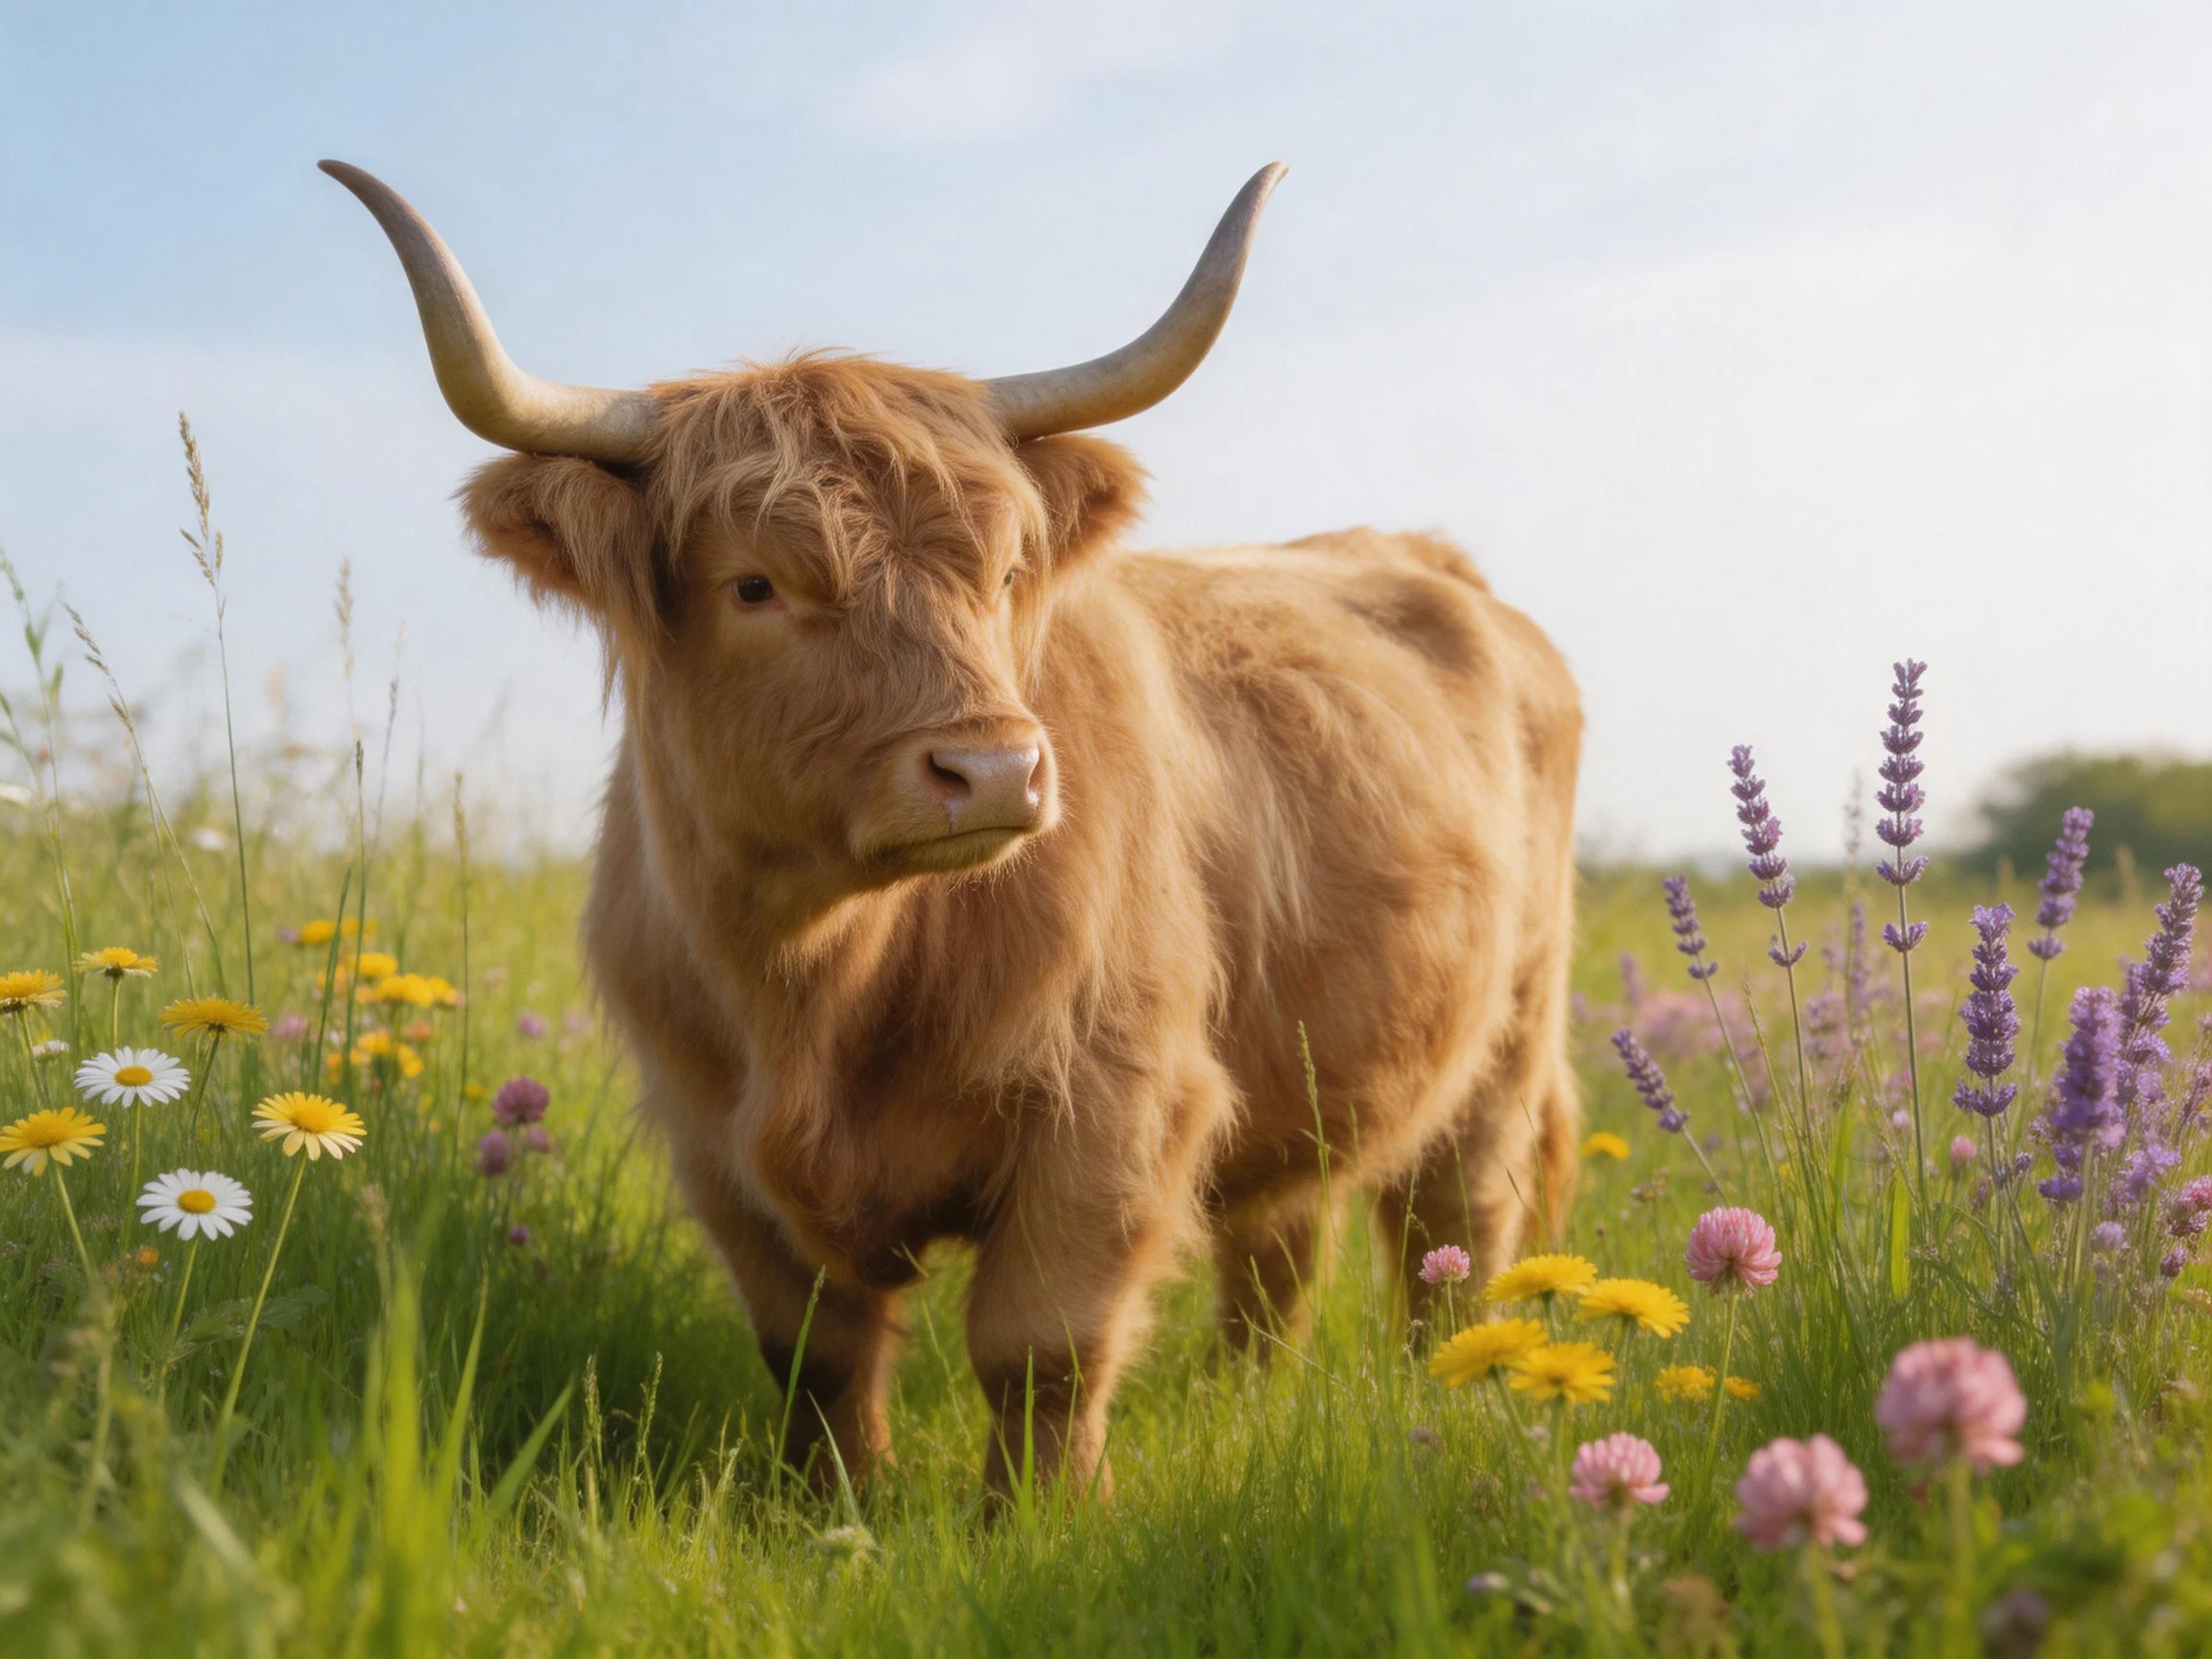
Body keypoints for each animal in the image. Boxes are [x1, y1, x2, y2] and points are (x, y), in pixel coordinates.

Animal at [325, 159, 1583, 1496]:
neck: (821, 983)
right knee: (1282, 1249)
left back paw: (1450, 1397)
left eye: (1003, 572)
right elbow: (816, 1355)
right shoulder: (715, 1145)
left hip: (1506, 1040)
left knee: (1454, 1230)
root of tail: (1427, 559)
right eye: (755, 584)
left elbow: (1042, 1349)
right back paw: (1248, 1401)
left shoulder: (1115, 1106)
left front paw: (1038, 1518)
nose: (995, 771)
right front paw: (833, 1508)